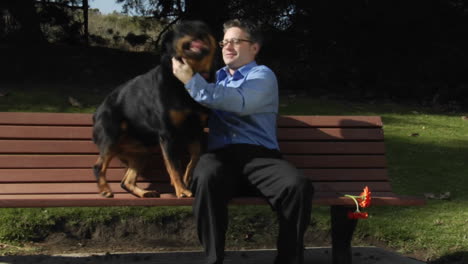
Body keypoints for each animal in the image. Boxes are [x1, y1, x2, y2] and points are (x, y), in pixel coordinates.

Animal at [92, 20, 217, 198]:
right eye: (185, 28)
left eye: (205, 27)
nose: (200, 31)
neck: (191, 76)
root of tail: (97, 112)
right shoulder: (168, 135)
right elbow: (174, 166)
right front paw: (181, 190)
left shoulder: (196, 130)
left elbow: (194, 158)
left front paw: (187, 179)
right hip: (111, 135)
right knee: (98, 166)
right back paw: (105, 190)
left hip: (141, 153)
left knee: (126, 181)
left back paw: (144, 192)